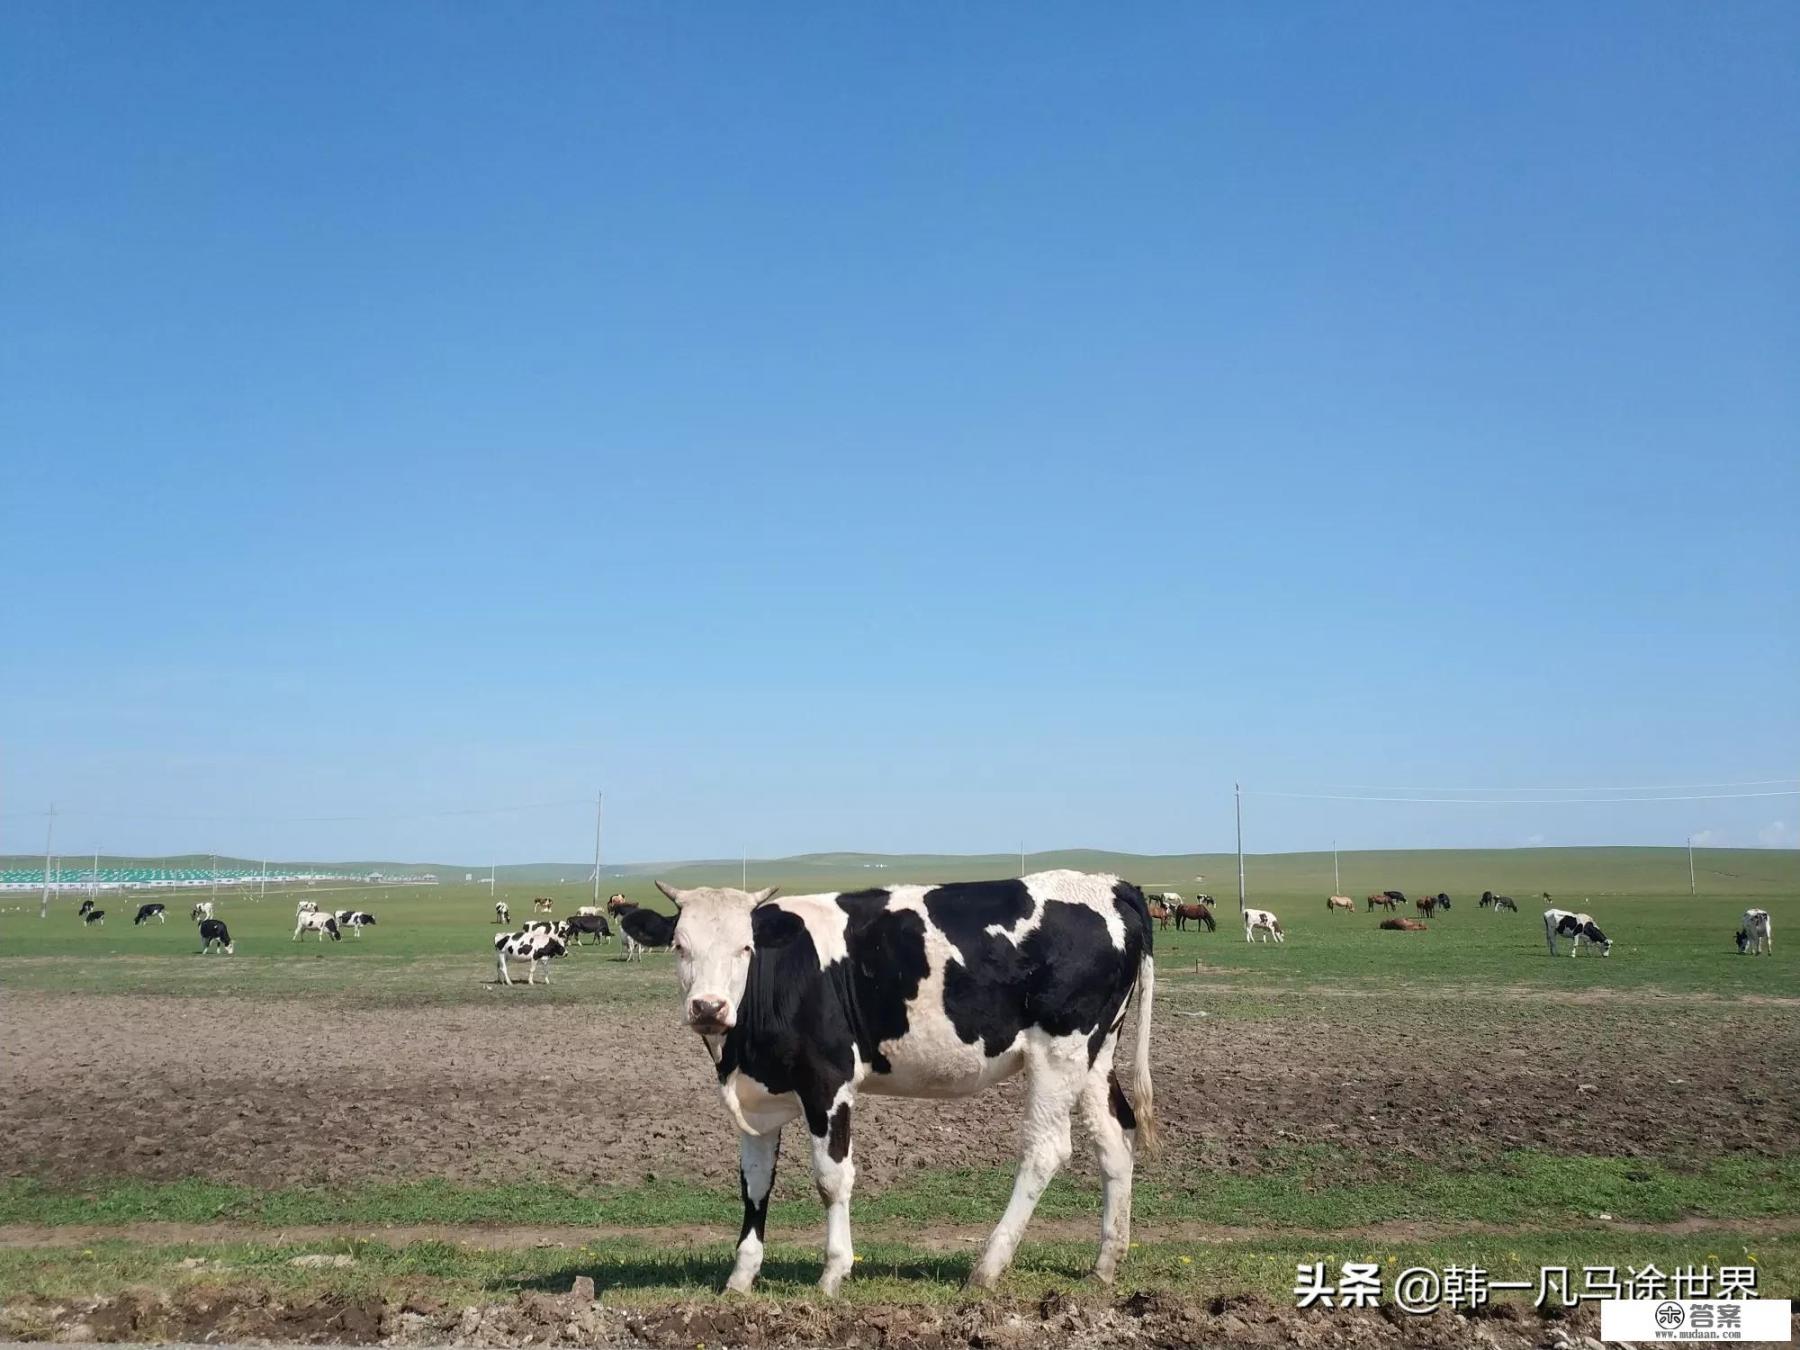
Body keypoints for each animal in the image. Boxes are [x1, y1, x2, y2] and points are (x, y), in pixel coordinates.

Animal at [658, 878, 1152, 1303]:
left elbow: (831, 1179)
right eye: (679, 946)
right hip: (1094, 1054)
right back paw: (1104, 1264)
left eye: (745, 947)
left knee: (1045, 1149)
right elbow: (755, 1183)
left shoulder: (829, 1081)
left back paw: (987, 1267)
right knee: (1114, 1138)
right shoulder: (757, 1098)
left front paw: (833, 1273)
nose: (708, 1007)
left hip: (1058, 1051)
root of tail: (1110, 884)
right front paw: (740, 1278)